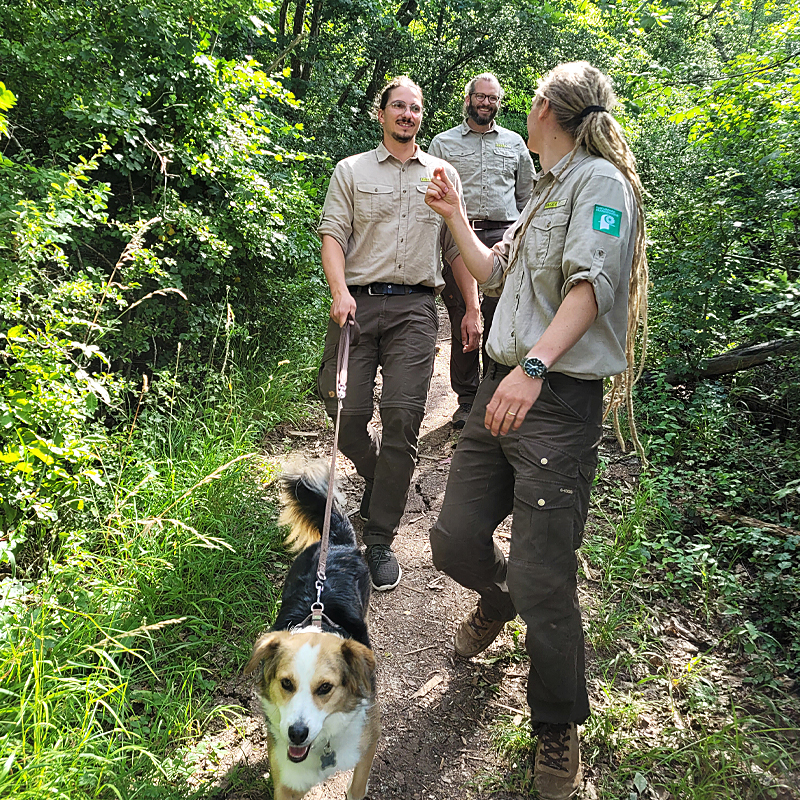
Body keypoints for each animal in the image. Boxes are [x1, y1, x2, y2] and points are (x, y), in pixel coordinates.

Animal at [245, 462, 380, 800]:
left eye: (325, 688)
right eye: (286, 684)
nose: (296, 734)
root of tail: (336, 543)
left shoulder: (368, 741)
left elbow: (357, 786)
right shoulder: (286, 777)